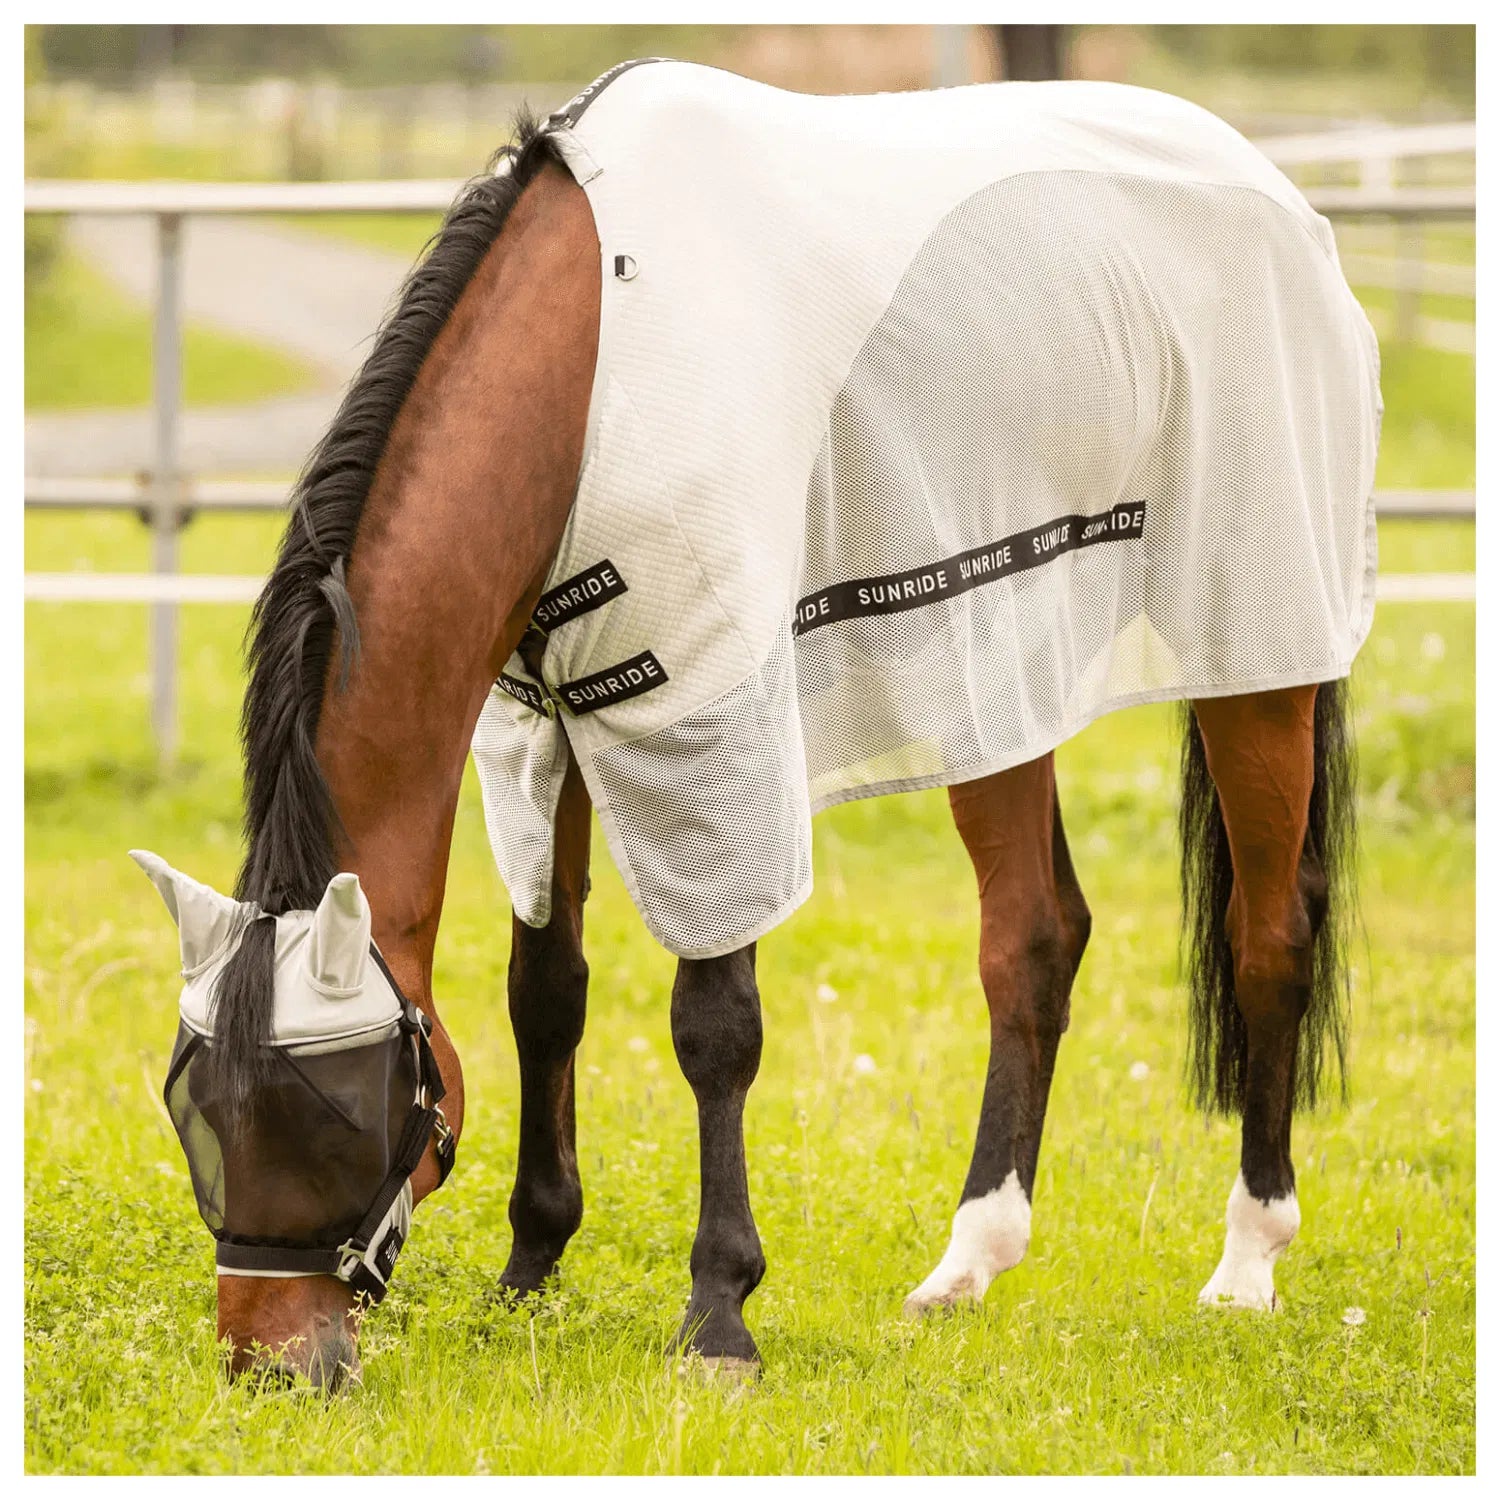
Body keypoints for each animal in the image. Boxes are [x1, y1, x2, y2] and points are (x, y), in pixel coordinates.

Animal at [134, 60, 1377, 1390]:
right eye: (195, 1113)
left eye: (328, 1116)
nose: (268, 1359)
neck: (590, 363)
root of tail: (1276, 195)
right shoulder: (549, 723)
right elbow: (545, 988)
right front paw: (532, 1265)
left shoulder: (705, 717)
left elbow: (714, 1025)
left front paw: (718, 1309)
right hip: (994, 662)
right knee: (1034, 940)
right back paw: (969, 1262)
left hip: (1255, 654)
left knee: (1268, 936)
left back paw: (1246, 1263)